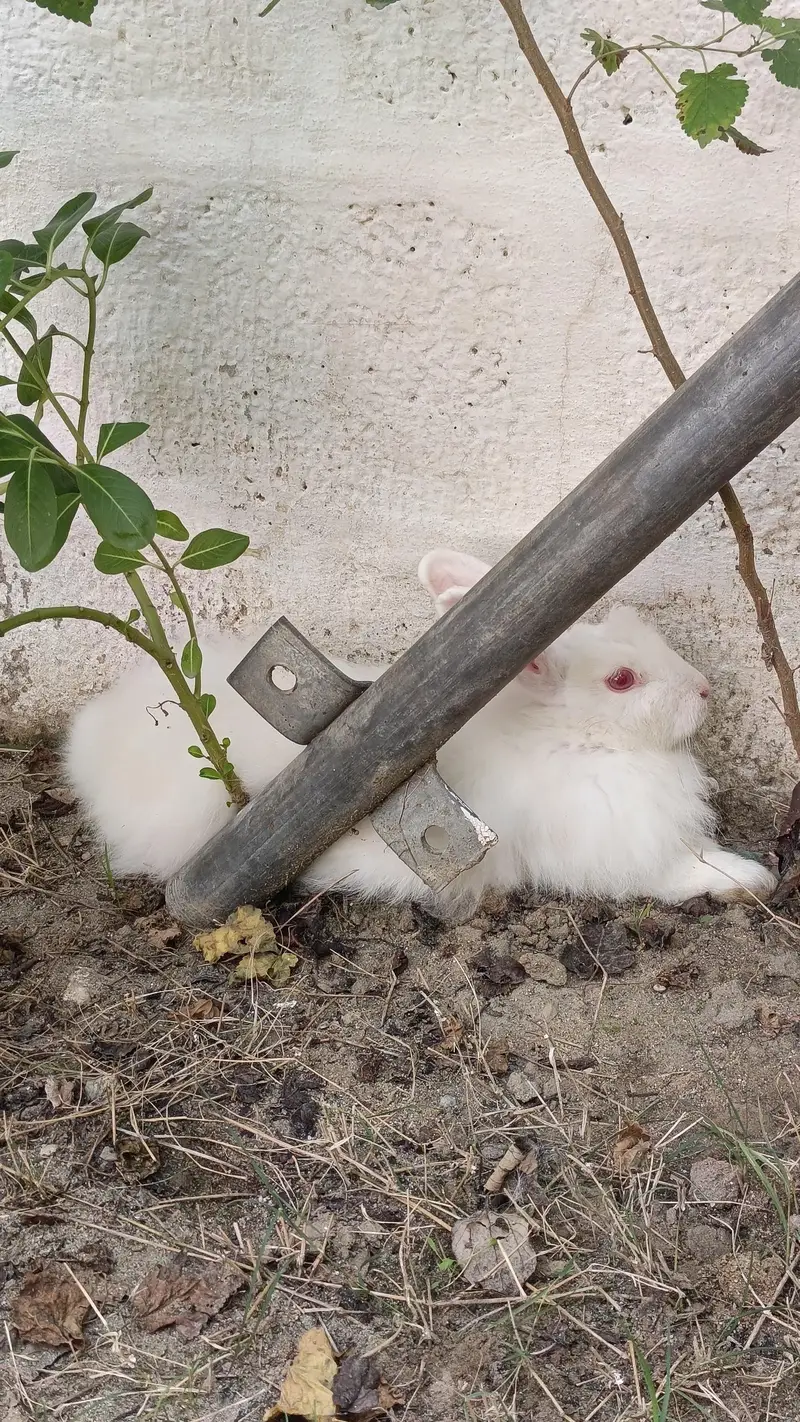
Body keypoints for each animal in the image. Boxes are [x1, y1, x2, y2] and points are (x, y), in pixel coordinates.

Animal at [64, 546, 776, 919]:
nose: (704, 689)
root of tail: (89, 743)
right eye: (622, 680)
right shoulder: (617, 849)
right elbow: (685, 873)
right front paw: (755, 878)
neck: (571, 737)